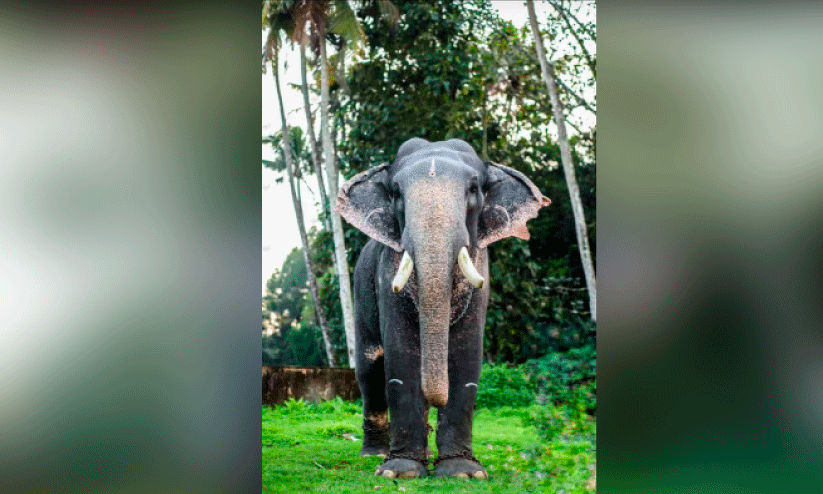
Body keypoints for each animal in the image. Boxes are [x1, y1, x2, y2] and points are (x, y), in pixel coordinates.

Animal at [335, 138, 551, 479]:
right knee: (369, 373)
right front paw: (400, 471)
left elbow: (466, 355)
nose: (436, 396)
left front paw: (463, 472)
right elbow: (401, 357)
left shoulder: (482, 272)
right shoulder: (385, 274)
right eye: (396, 194)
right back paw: (374, 454)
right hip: (360, 288)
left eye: (473, 189)